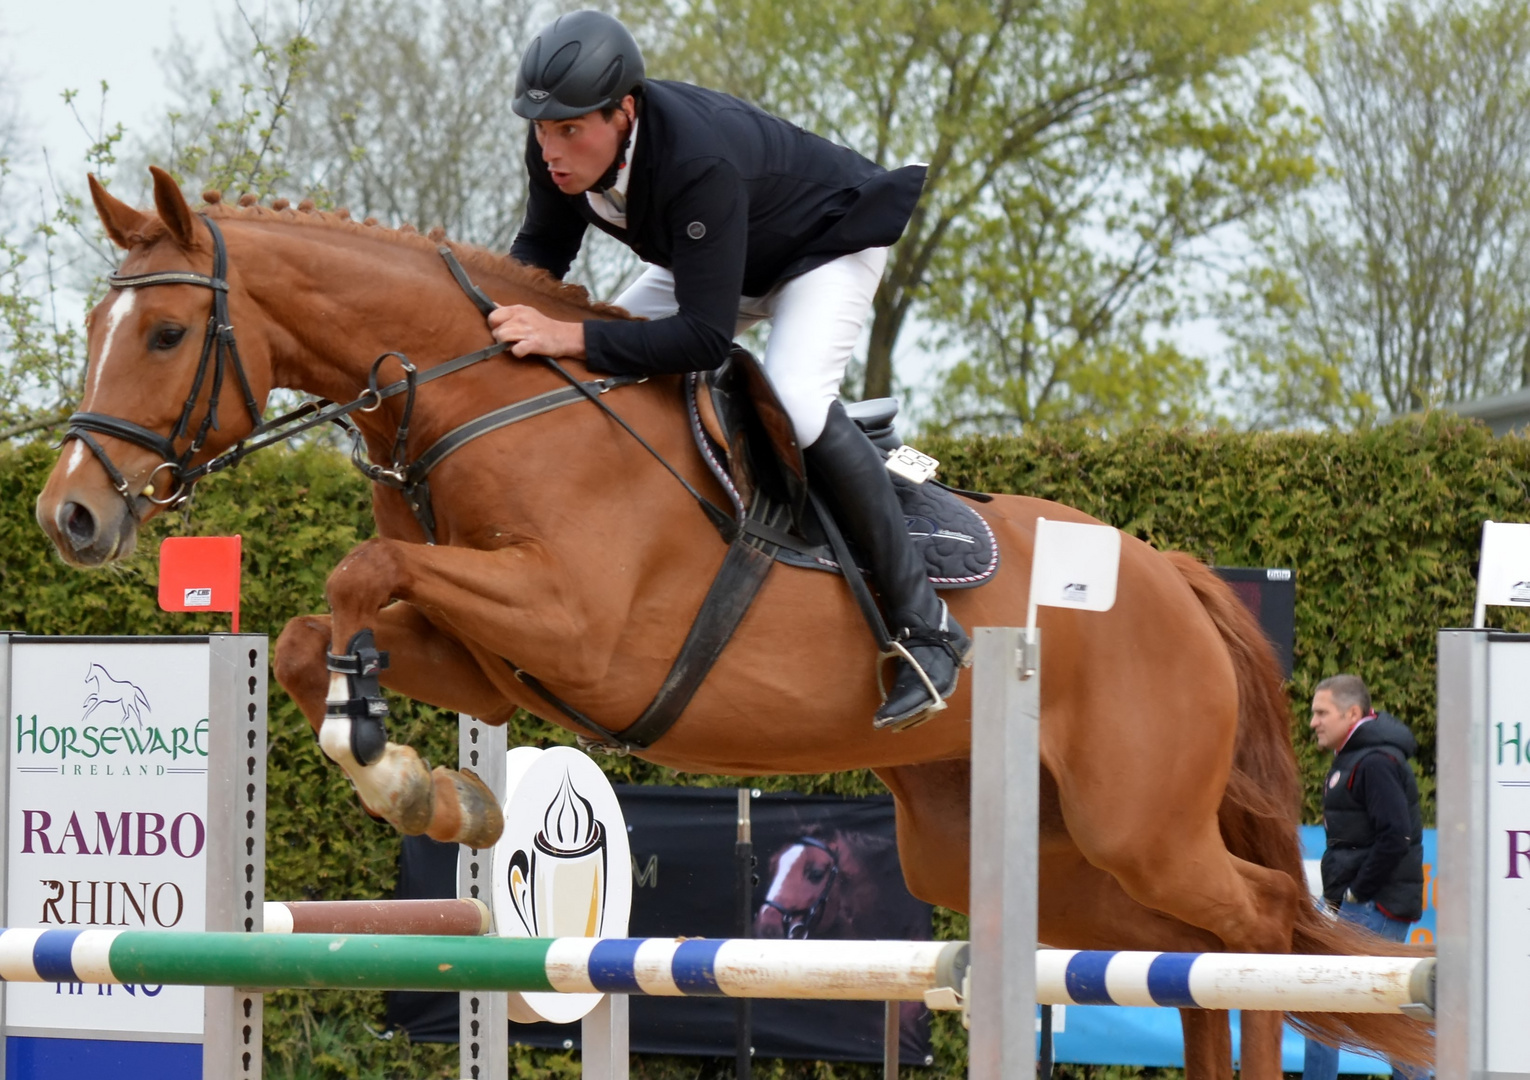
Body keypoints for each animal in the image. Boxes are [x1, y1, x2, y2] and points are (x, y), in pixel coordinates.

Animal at [32, 165, 1419, 1070]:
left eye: (166, 331)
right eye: (98, 325)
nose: (70, 517)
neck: (483, 406)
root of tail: (1175, 574)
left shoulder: (583, 632)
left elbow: (362, 574)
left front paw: (398, 766)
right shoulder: (500, 671)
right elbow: (324, 626)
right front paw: (421, 781)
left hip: (1141, 827)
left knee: (1265, 931)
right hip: (1020, 851)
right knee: (1191, 957)